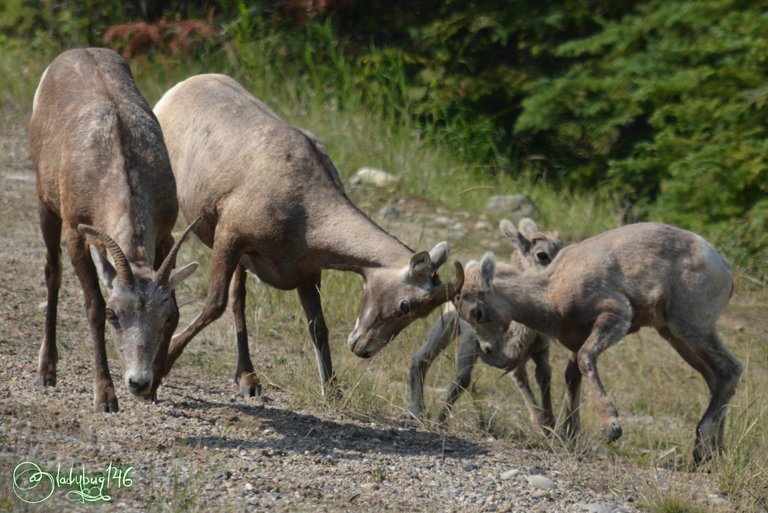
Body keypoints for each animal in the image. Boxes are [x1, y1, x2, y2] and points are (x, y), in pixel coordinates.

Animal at [408, 217, 564, 428]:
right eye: (542, 254)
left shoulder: (540, 349)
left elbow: (544, 377)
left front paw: (548, 426)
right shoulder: (471, 342)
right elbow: (463, 379)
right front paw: (439, 421)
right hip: (446, 325)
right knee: (420, 359)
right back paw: (418, 411)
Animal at [452, 221, 740, 464]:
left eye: (477, 312)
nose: (487, 348)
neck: (552, 292)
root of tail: (724, 268)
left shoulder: (615, 315)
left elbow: (585, 360)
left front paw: (611, 429)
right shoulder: (576, 339)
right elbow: (572, 376)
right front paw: (569, 436)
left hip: (691, 327)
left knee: (731, 369)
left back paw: (701, 449)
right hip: (676, 337)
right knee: (715, 378)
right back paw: (714, 454)